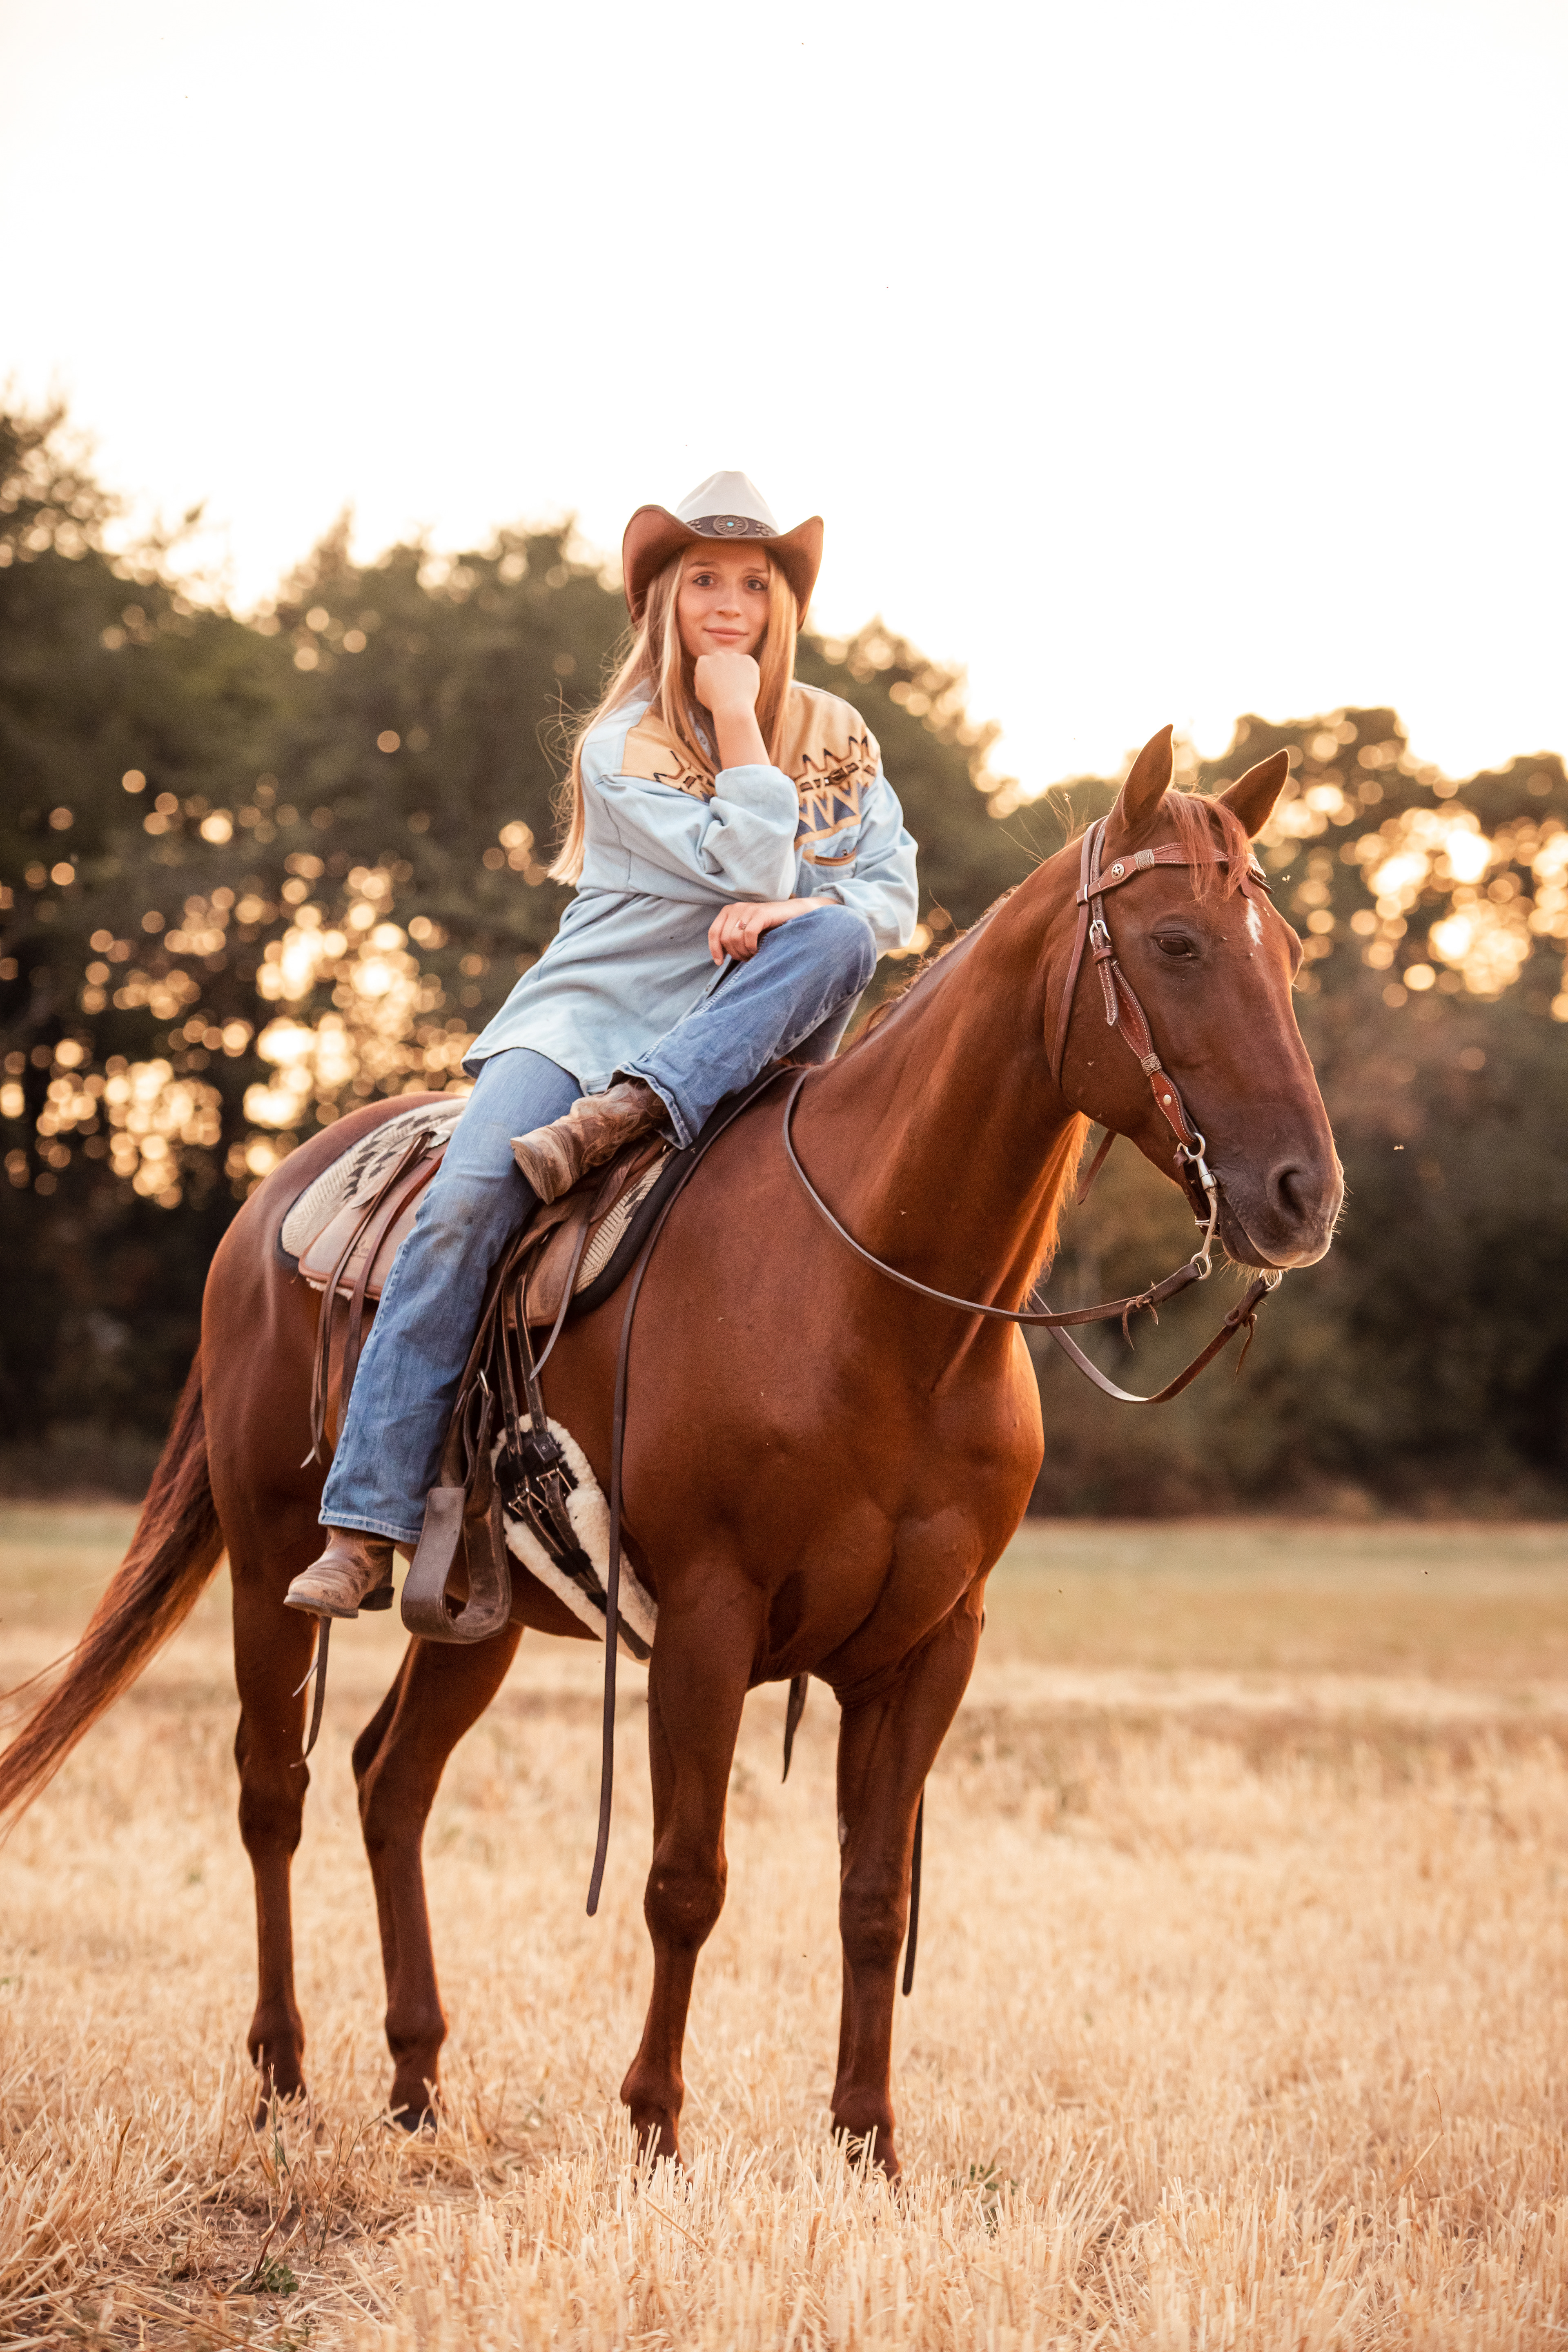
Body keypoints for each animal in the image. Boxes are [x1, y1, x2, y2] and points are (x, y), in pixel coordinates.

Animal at [0, 727, 1341, 2180]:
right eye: (1175, 944)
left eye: (1284, 953)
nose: (1303, 1195)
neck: (885, 1309)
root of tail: (270, 1205)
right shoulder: (706, 1623)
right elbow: (684, 1881)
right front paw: (652, 2129)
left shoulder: (932, 1648)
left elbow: (874, 1895)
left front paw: (867, 2147)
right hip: (267, 1565)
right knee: (273, 1792)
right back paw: (280, 2080)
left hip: (472, 1614)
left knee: (388, 1783)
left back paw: (416, 2082)